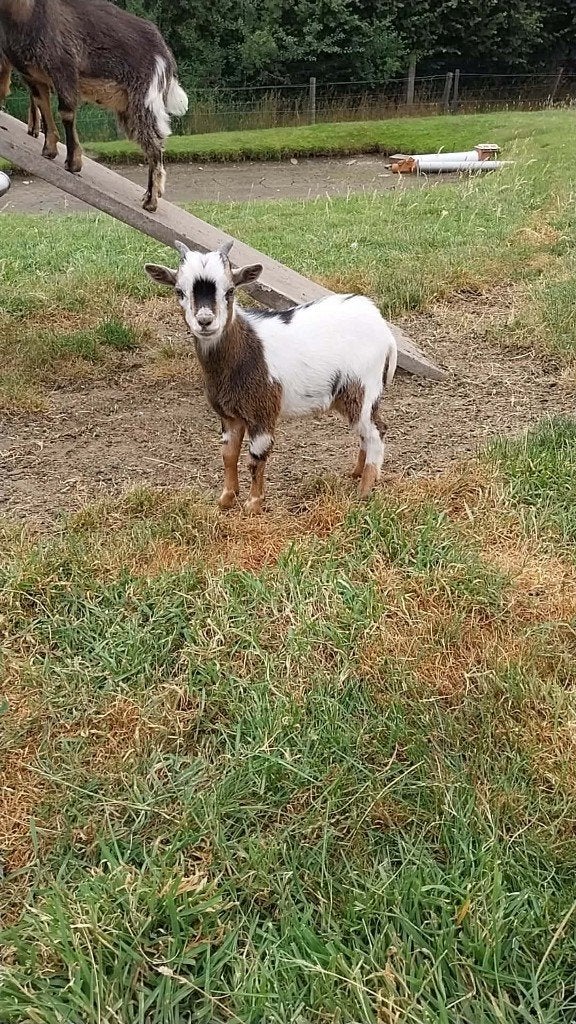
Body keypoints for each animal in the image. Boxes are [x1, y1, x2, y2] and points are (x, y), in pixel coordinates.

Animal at [0, 0, 188, 212]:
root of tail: (165, 55)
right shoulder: (33, 75)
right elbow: (43, 105)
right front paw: (49, 149)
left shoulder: (64, 69)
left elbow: (66, 112)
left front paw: (72, 163)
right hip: (130, 108)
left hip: (144, 101)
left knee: (154, 145)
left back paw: (150, 202)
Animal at [145, 242, 397, 513]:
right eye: (179, 291)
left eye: (230, 290)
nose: (205, 321)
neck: (244, 349)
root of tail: (383, 327)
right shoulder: (229, 415)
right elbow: (228, 455)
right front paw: (226, 499)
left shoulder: (262, 411)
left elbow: (256, 458)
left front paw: (253, 504)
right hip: (345, 395)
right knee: (365, 431)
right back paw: (356, 473)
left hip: (363, 387)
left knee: (376, 431)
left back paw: (364, 491)